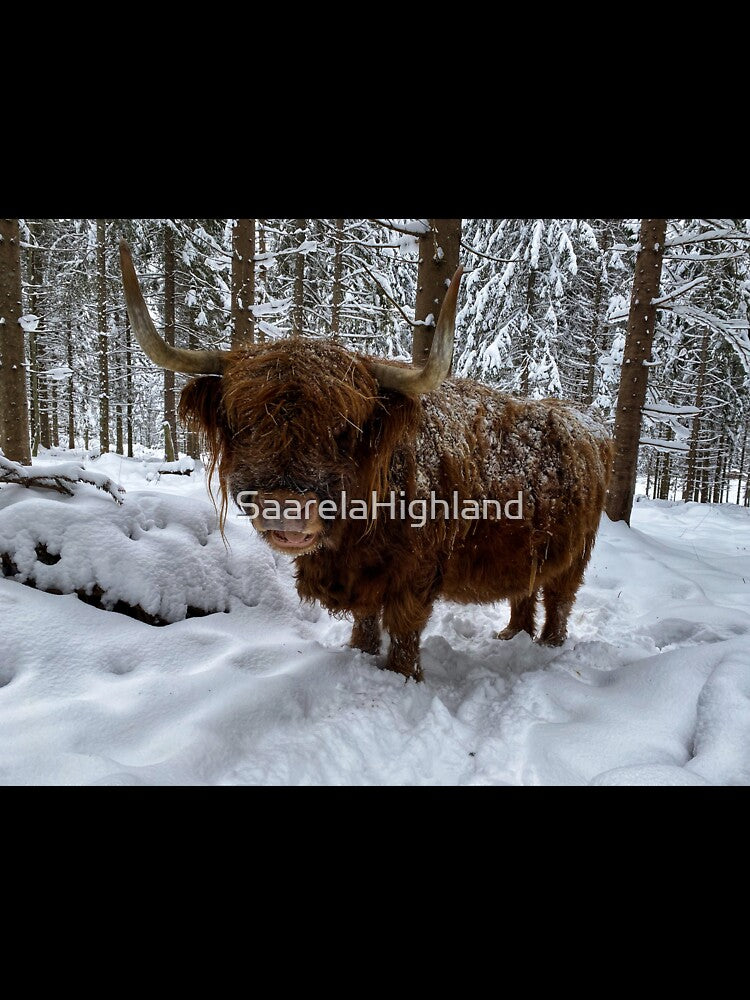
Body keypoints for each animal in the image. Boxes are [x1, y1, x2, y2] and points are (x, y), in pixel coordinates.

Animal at [120, 240, 613, 682]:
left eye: (345, 431)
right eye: (244, 424)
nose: (286, 506)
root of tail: (588, 420)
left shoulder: (415, 571)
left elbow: (404, 624)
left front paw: (402, 676)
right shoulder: (360, 575)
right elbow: (365, 616)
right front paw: (360, 651)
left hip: (576, 553)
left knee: (559, 599)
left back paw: (546, 646)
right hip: (532, 550)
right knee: (524, 592)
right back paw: (512, 635)